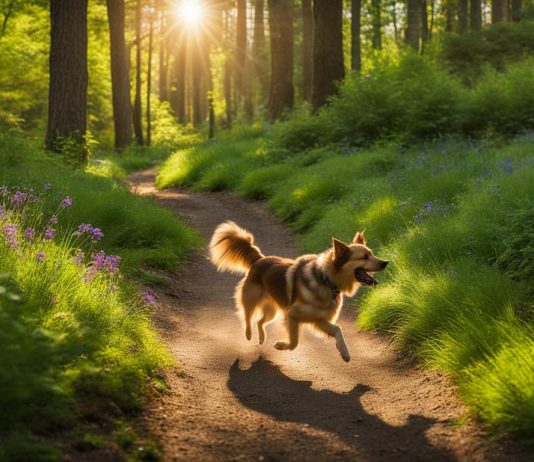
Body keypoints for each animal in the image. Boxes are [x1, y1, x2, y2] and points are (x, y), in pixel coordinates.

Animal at [209, 222, 390, 362]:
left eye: (372, 253)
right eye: (364, 257)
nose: (386, 262)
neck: (326, 280)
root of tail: (259, 259)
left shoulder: (319, 319)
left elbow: (338, 330)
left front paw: (344, 352)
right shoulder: (293, 316)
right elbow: (294, 342)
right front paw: (282, 345)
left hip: (272, 310)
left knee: (260, 321)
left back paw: (261, 337)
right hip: (251, 299)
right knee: (247, 317)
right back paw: (248, 334)